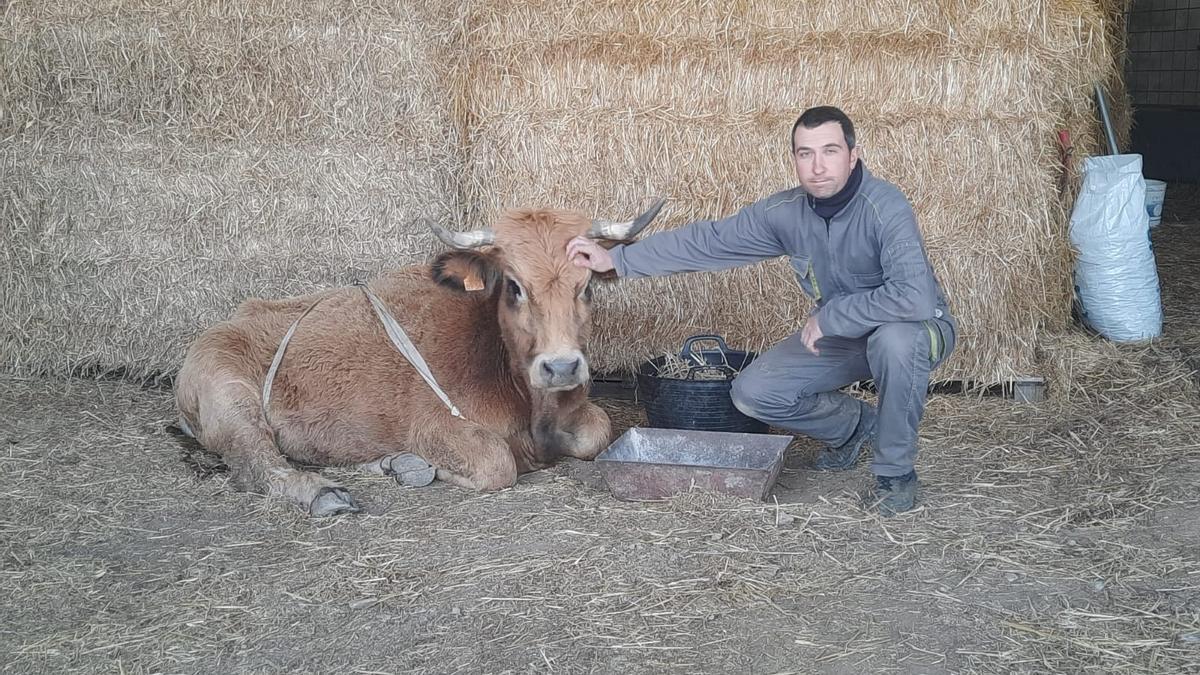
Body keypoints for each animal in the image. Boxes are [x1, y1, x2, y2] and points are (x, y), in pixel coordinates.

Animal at [175, 199, 667, 514]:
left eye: (586, 287)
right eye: (514, 286)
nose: (561, 366)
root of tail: (233, 318)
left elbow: (597, 431)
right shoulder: (436, 427)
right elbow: (498, 462)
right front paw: (441, 470)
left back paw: (393, 463)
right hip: (231, 400)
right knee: (257, 463)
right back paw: (322, 493)